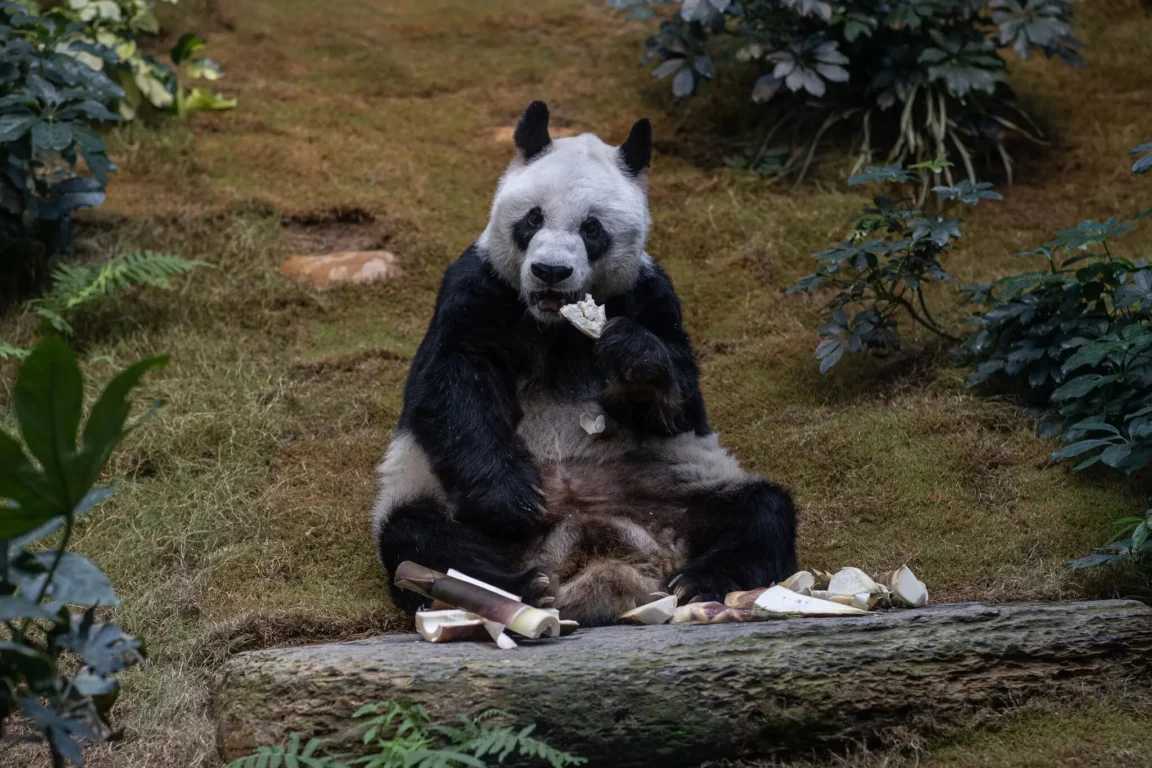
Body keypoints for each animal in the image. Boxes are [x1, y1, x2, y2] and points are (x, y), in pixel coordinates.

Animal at [372, 101, 797, 626]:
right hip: (441, 498)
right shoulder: (477, 288)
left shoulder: (650, 295)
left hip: (678, 488)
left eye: (591, 229)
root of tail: (598, 556)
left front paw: (635, 357)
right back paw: (521, 588)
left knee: (761, 510)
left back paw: (697, 582)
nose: (550, 271)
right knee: (422, 536)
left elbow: (679, 400)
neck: (555, 323)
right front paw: (513, 496)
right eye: (532, 219)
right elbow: (453, 382)